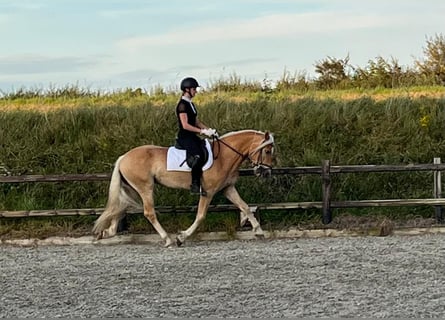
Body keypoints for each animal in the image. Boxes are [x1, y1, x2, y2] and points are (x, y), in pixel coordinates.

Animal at [92, 129, 274, 246]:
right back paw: (167, 239)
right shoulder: (208, 192)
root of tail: (124, 157)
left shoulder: (227, 188)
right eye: (267, 151)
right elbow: (200, 216)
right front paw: (182, 237)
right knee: (149, 212)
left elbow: (245, 206)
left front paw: (259, 231)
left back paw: (107, 233)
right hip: (145, 188)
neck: (223, 156)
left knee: (119, 208)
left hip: (131, 189)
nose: (266, 172)